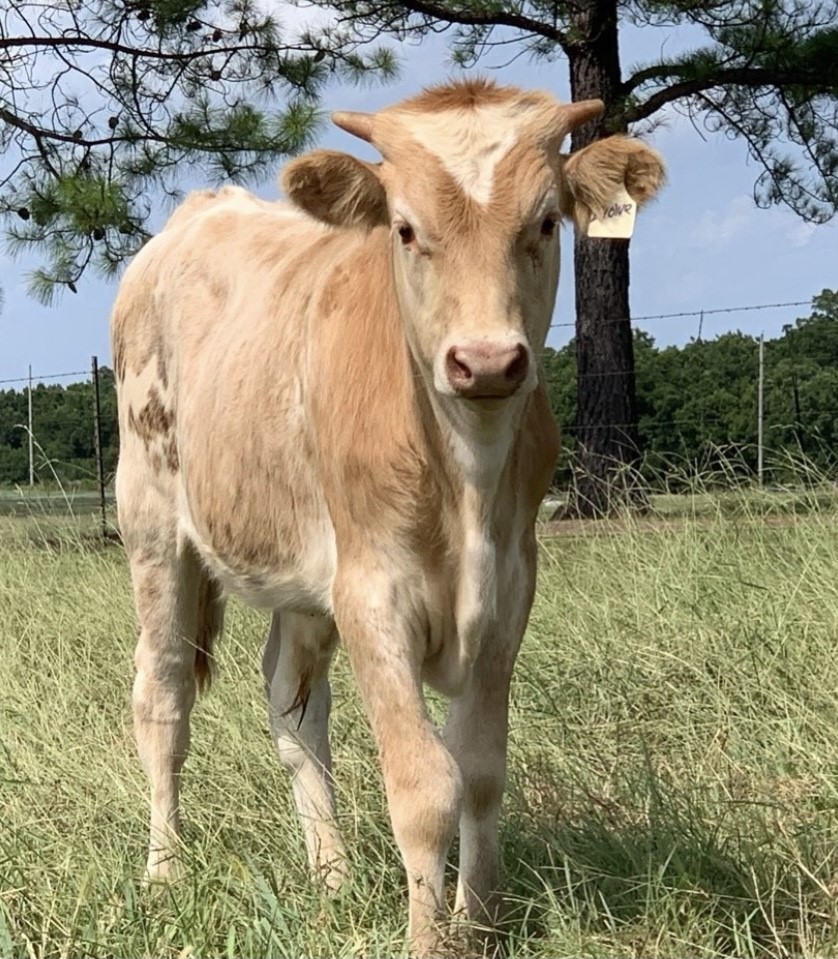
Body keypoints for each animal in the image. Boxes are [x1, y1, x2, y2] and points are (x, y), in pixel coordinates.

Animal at [111, 78, 664, 955]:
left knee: (294, 706)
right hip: (154, 524)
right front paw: (429, 935)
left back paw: (331, 876)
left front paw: (479, 919)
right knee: (162, 695)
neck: (466, 477)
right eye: (405, 229)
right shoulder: (373, 591)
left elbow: (480, 769)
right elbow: (425, 784)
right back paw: (165, 872)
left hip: (307, 576)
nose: (486, 361)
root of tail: (201, 209)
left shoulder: (511, 587)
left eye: (547, 221)